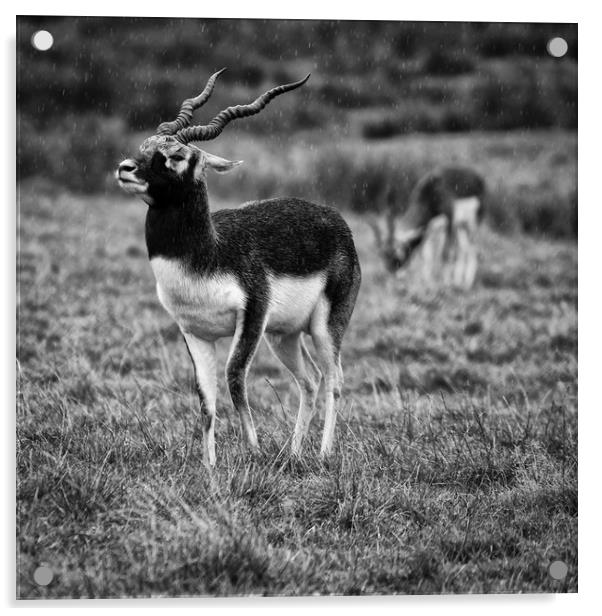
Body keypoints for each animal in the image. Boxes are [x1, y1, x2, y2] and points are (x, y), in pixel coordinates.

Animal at [118, 70, 360, 466]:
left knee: (334, 380)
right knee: (310, 381)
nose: (126, 169)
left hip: (324, 328)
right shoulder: (194, 331)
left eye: (176, 155)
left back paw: (324, 454)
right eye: (146, 145)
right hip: (283, 336)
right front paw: (210, 466)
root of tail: (337, 220)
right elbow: (206, 399)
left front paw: (254, 449)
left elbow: (234, 378)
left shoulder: (252, 317)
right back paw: (293, 453)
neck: (210, 253)